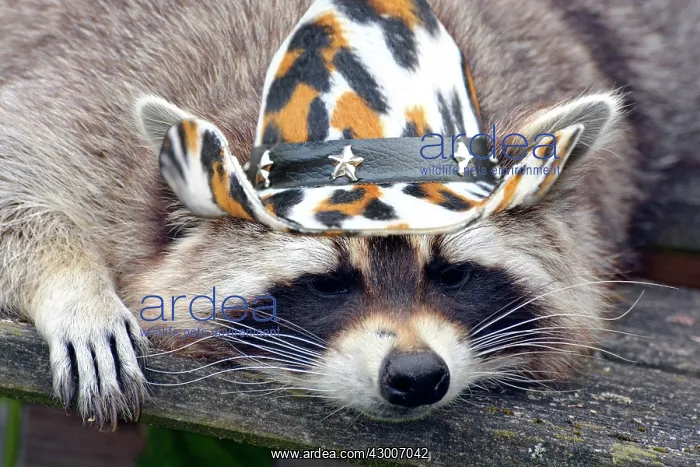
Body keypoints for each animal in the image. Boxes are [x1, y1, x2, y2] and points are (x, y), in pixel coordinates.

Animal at [0, 0, 697, 427]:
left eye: (452, 274)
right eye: (329, 282)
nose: (417, 376)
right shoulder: (93, 109)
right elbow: (18, 167)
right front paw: (75, 286)